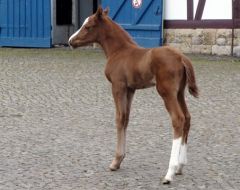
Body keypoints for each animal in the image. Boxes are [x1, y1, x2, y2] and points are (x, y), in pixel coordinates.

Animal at [68, 7, 199, 184]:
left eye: (88, 27)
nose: (70, 41)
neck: (119, 51)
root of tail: (181, 57)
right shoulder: (130, 89)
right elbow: (125, 119)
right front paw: (120, 160)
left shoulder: (118, 86)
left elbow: (118, 119)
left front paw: (115, 161)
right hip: (179, 92)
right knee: (187, 118)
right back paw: (180, 166)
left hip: (167, 92)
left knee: (178, 119)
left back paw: (169, 173)